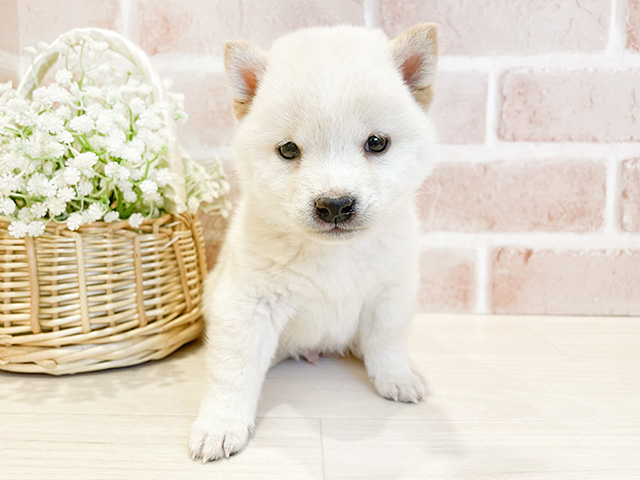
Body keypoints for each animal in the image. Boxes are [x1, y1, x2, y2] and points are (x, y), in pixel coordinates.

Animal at [190, 22, 440, 462]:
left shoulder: (392, 290)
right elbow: (234, 369)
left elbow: (388, 340)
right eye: (289, 150)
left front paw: (395, 377)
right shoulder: (247, 302)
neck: (334, 256)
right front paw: (220, 424)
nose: (335, 205)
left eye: (377, 143)